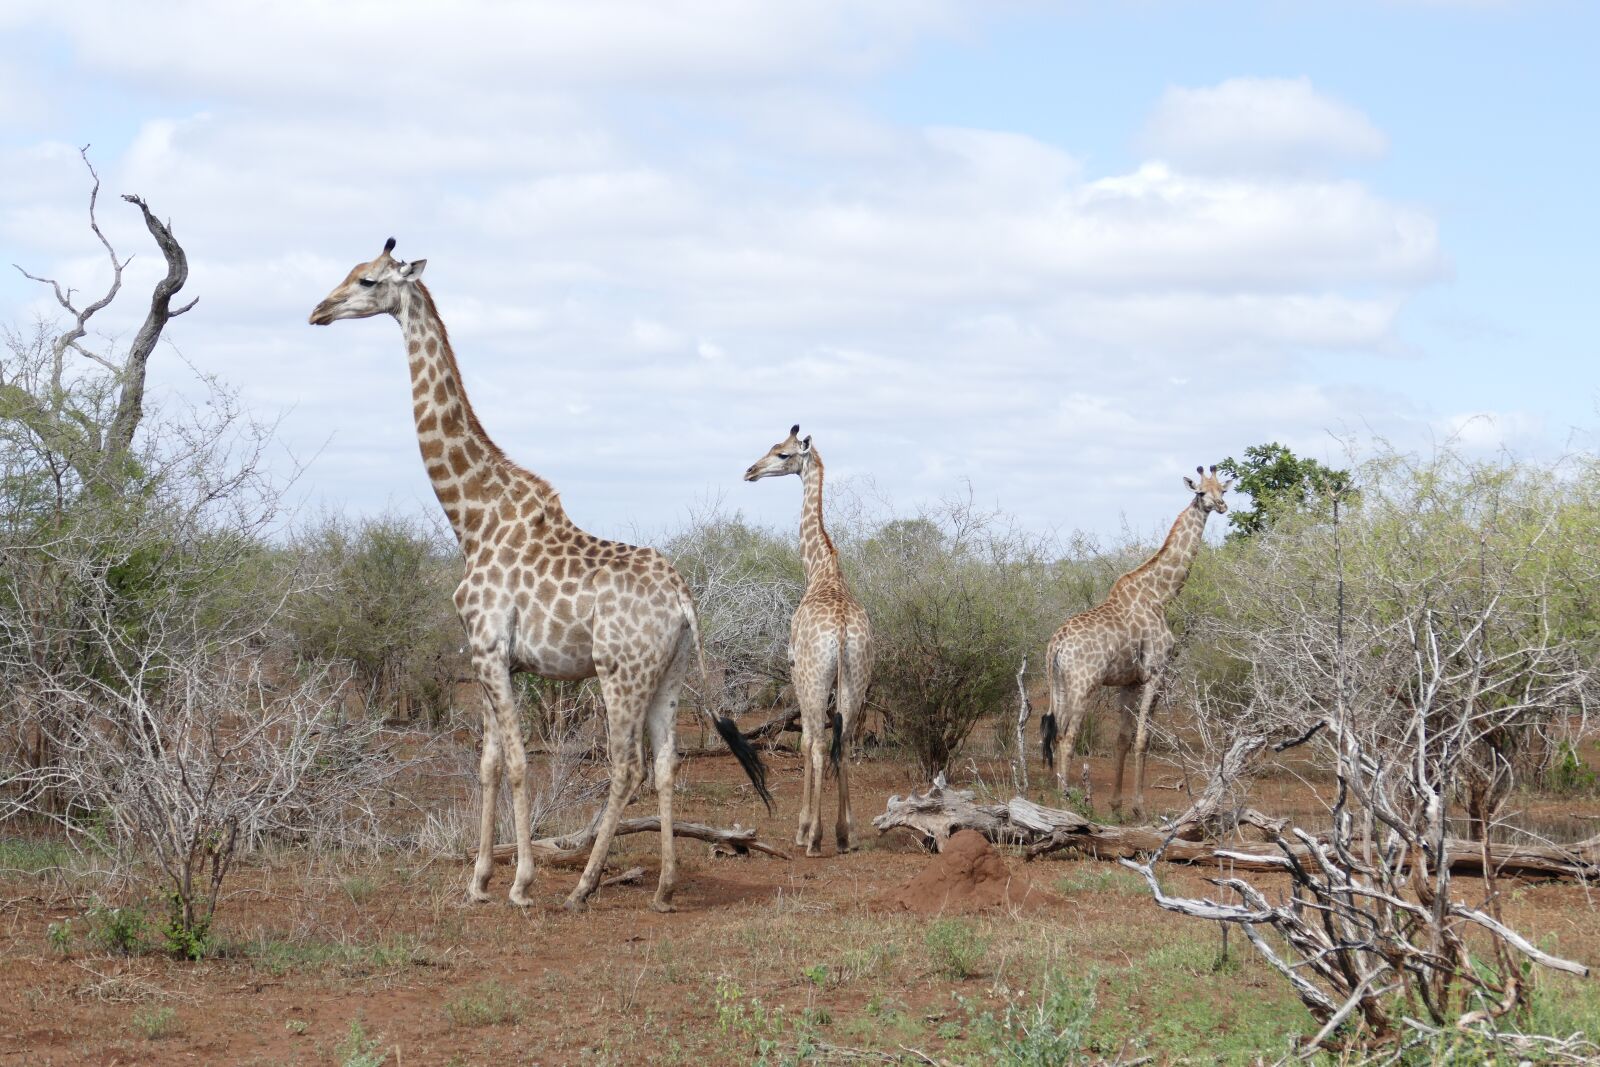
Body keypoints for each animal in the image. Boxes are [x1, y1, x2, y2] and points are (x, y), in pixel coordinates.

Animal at [309, 239, 772, 912]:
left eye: (366, 280)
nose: (318, 310)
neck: (471, 517)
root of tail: (684, 597)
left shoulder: (490, 650)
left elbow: (519, 762)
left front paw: (520, 883)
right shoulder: (488, 657)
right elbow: (488, 763)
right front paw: (478, 879)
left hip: (620, 672)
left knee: (626, 767)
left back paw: (582, 886)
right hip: (671, 673)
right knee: (664, 764)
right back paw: (663, 887)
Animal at [744, 426, 872, 856]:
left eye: (782, 454)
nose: (750, 471)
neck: (821, 569)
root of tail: (843, 631)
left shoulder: (796, 669)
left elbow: (805, 744)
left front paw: (803, 828)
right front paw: (840, 831)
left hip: (816, 678)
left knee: (817, 743)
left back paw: (813, 836)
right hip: (856, 678)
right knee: (844, 741)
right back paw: (845, 833)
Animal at [1040, 465, 1231, 819]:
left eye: (1222, 491)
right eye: (1200, 492)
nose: (1221, 507)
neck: (1160, 595)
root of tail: (1055, 646)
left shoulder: (1128, 681)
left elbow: (1123, 738)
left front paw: (1116, 806)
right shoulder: (1157, 672)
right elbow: (1143, 738)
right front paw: (1139, 809)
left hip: (1057, 684)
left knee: (1056, 732)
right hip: (1083, 684)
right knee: (1069, 737)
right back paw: (1065, 801)